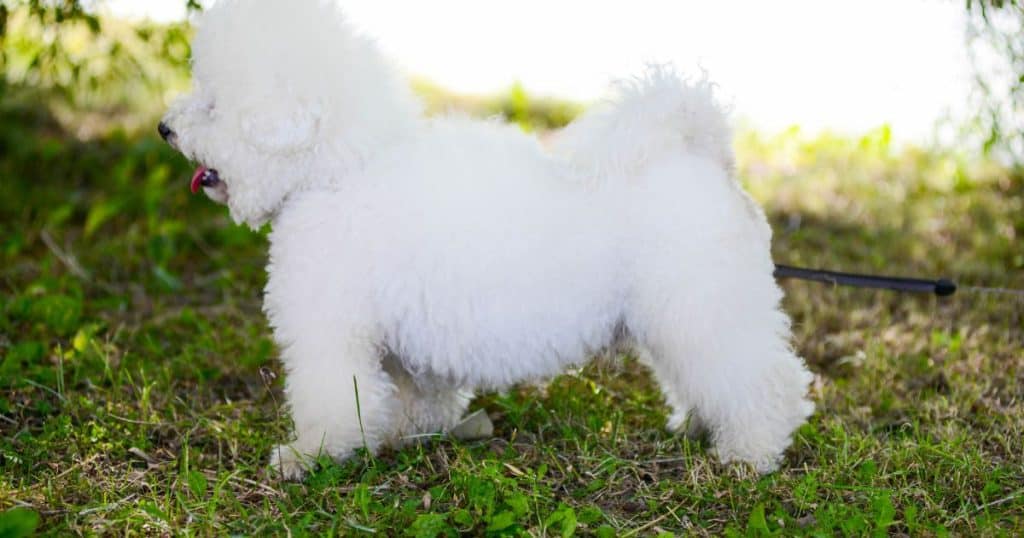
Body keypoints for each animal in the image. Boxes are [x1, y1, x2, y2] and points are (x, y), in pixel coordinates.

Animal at [159, 0, 815, 477]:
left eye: (213, 105)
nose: (165, 127)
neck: (339, 168)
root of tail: (704, 158)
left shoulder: (330, 330)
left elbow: (332, 399)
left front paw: (309, 456)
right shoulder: (401, 342)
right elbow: (410, 394)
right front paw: (407, 434)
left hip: (704, 308)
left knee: (767, 381)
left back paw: (750, 454)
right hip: (678, 317)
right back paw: (702, 427)